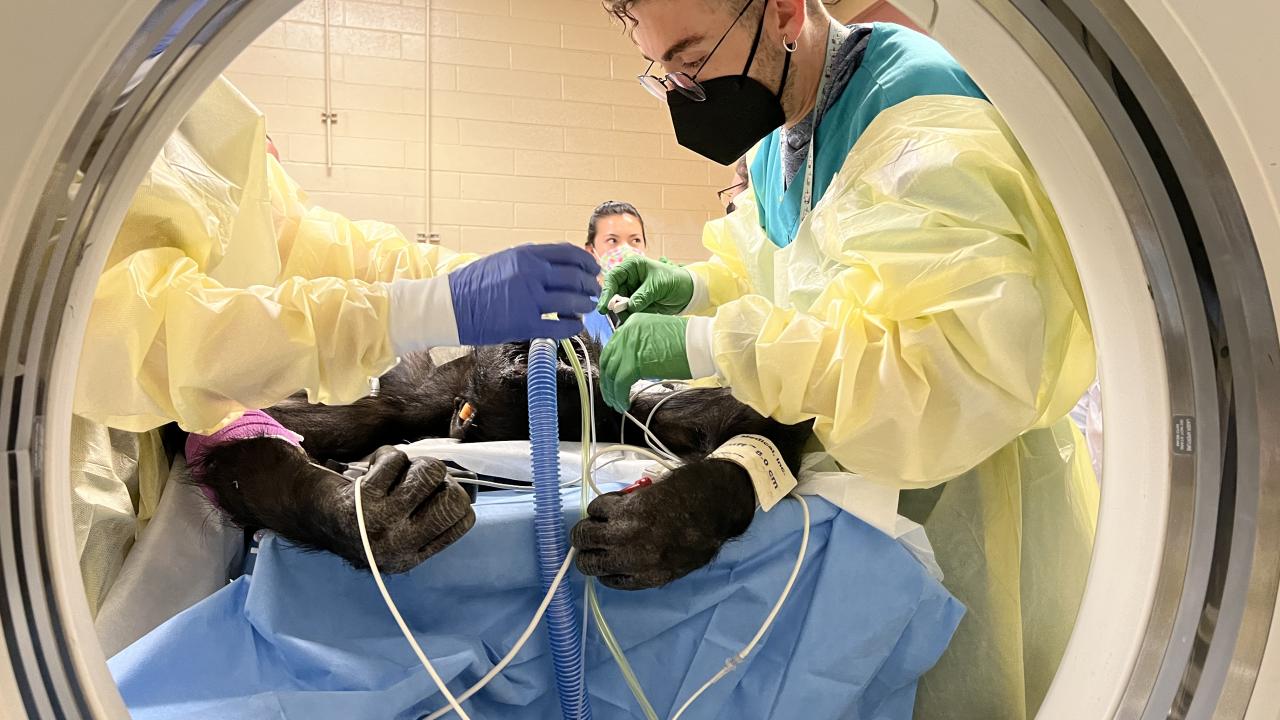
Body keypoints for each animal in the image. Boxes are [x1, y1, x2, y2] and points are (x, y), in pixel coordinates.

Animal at [189, 335, 808, 589]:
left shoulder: (628, 408)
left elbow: (753, 419)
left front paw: (665, 524)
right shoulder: (400, 406)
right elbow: (244, 430)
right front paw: (372, 518)